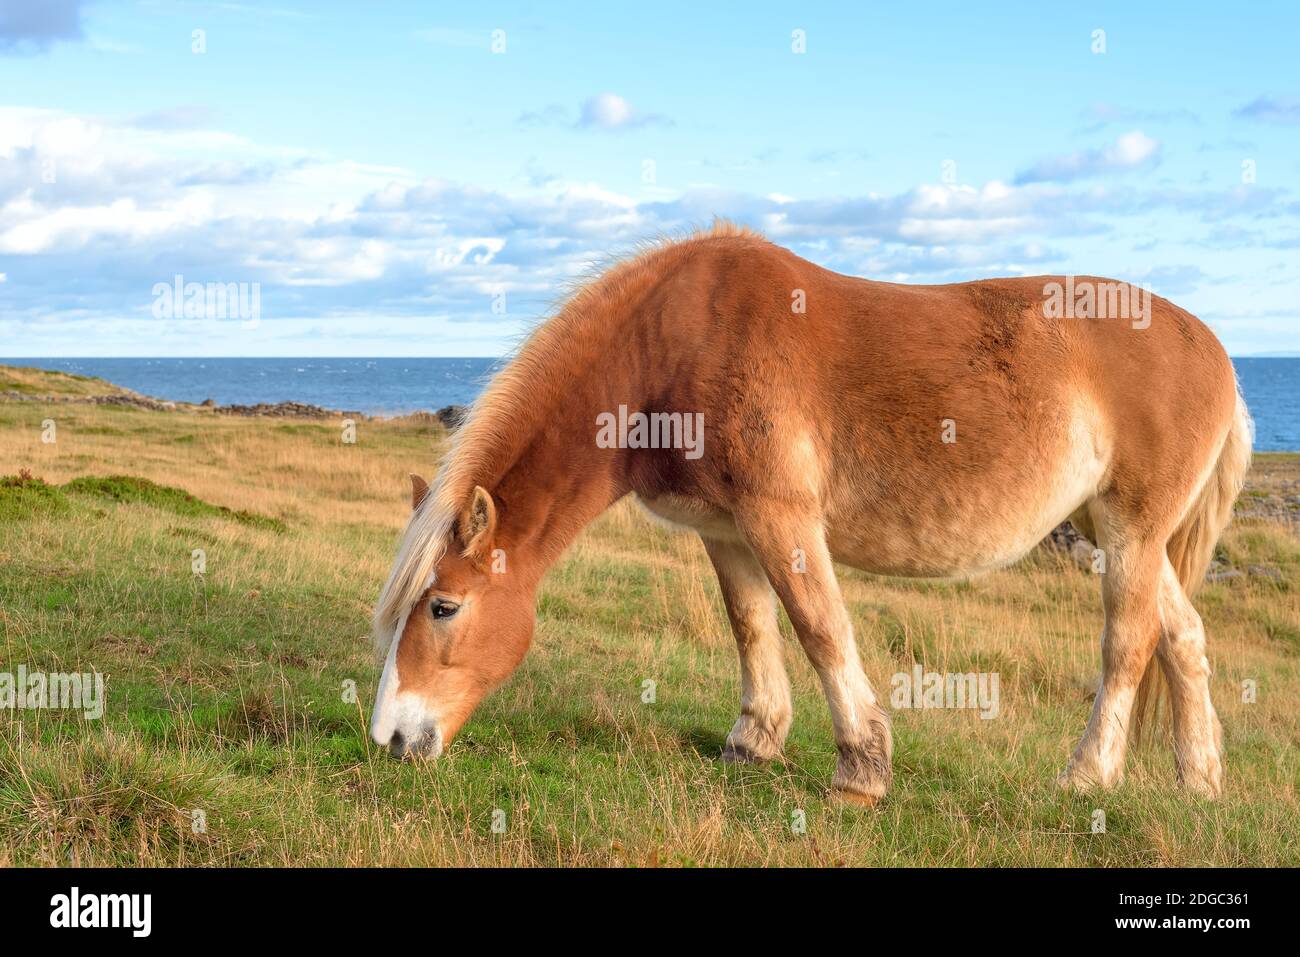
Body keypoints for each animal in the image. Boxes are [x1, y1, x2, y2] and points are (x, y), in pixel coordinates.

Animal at [366, 222, 1248, 800]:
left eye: (443, 606)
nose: (390, 738)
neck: (675, 346)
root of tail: (1215, 350)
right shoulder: (725, 529)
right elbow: (752, 624)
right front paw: (753, 740)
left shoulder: (780, 518)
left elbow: (819, 626)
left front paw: (861, 768)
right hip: (1121, 531)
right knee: (1183, 636)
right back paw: (1200, 779)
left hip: (1131, 530)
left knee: (1129, 643)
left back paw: (1086, 775)